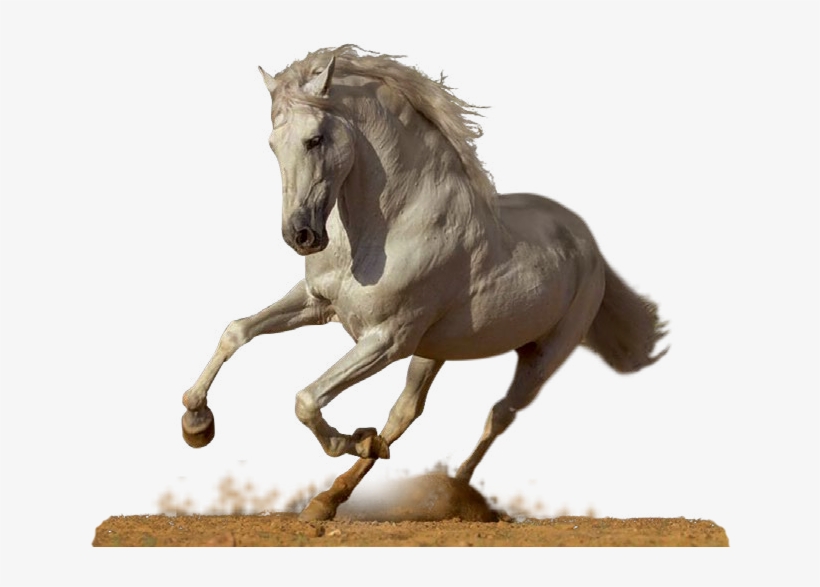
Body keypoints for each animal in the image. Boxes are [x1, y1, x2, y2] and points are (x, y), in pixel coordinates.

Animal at [180, 45, 668, 521]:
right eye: (272, 144)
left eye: (314, 139)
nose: (300, 236)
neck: (389, 226)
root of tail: (585, 240)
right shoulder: (317, 304)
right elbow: (236, 331)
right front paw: (196, 423)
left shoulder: (386, 339)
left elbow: (306, 399)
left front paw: (349, 439)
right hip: (434, 350)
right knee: (405, 413)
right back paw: (329, 499)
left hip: (544, 355)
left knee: (499, 415)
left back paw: (456, 488)